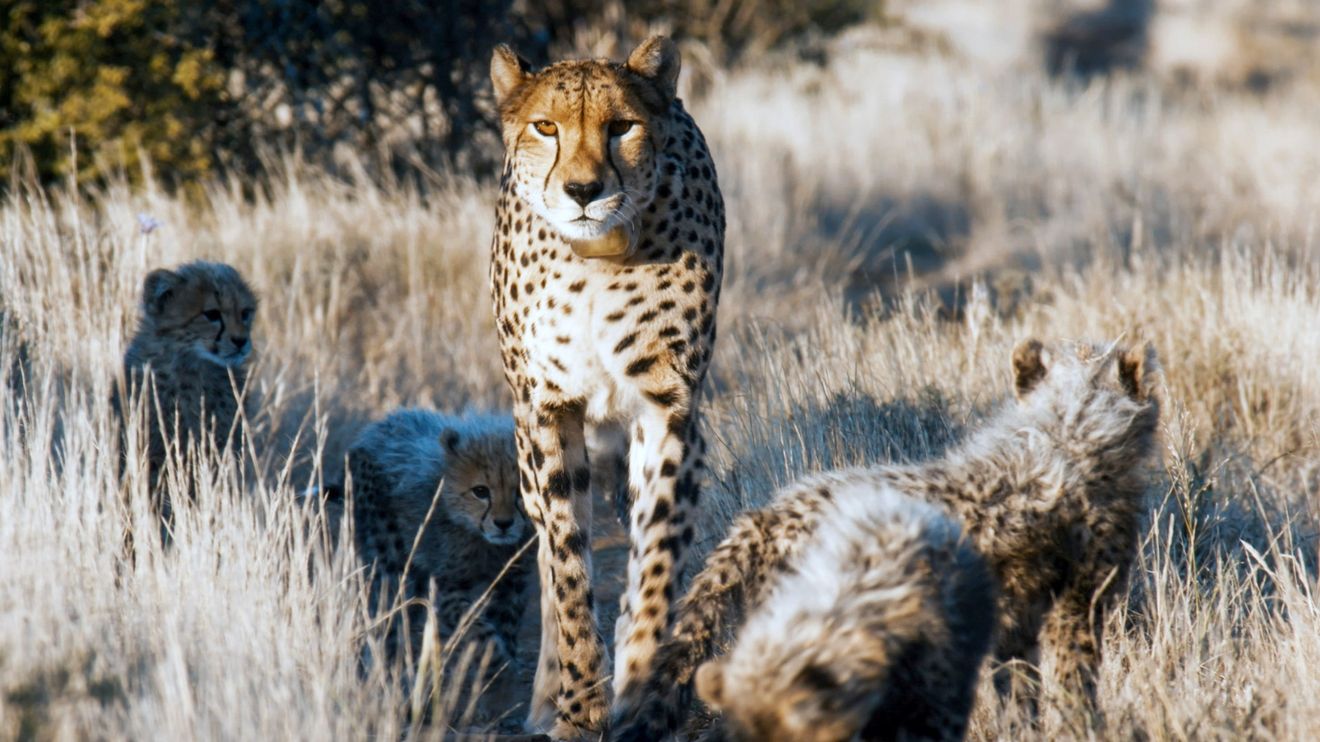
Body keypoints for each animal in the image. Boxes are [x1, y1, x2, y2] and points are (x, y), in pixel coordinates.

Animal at [487, 34, 725, 738]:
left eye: (621, 126)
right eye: (546, 127)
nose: (583, 190)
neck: (595, 260)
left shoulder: (667, 408)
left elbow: (656, 561)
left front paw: (640, 686)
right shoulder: (548, 412)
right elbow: (567, 567)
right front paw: (578, 705)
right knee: (545, 547)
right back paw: (546, 697)